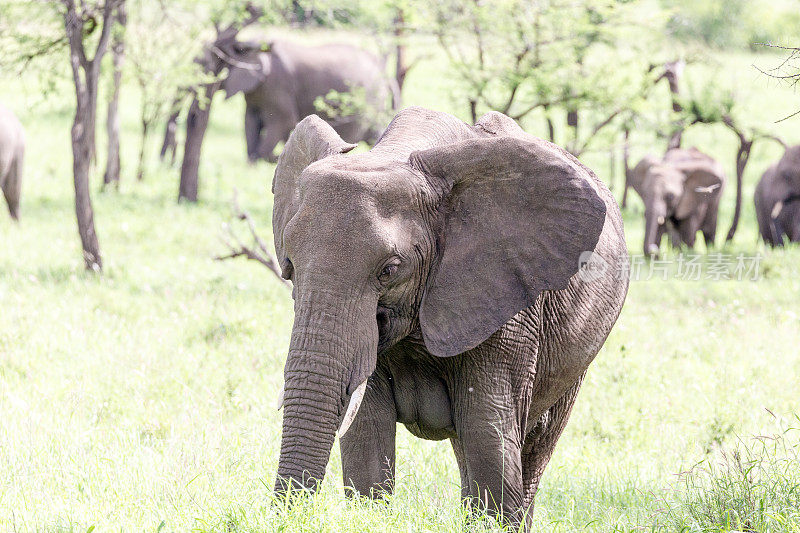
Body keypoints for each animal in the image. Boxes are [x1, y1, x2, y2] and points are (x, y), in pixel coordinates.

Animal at [206, 36, 394, 161]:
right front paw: (254, 162)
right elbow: (250, 121)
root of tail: (383, 70)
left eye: (215, 64)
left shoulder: (277, 85)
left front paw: (269, 159)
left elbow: (283, 121)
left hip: (369, 100)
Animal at [272, 105, 628, 528]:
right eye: (290, 265)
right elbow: (366, 433)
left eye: (390, 270)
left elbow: (488, 433)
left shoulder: (509, 305)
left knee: (533, 447)